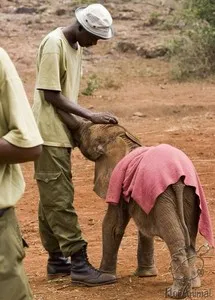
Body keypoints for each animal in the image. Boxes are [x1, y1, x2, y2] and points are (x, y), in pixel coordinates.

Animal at [66, 118, 214, 298]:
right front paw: (145, 275)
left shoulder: (116, 180)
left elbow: (112, 225)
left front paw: (104, 276)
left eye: (86, 133)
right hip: (191, 196)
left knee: (175, 237)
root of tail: (180, 179)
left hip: (165, 198)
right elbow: (142, 228)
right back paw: (194, 284)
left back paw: (176, 293)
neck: (122, 138)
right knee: (190, 237)